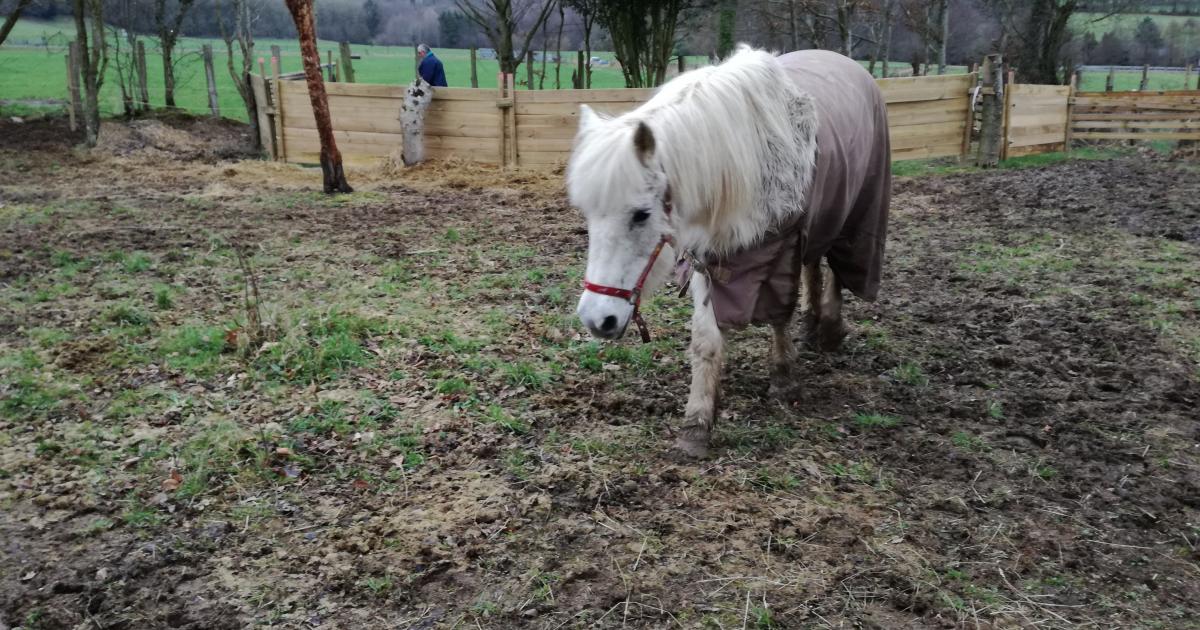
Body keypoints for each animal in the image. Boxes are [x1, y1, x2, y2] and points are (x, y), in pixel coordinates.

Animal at [568, 45, 892, 456]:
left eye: (641, 215)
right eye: (588, 214)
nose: (597, 319)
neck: (749, 157)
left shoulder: (784, 247)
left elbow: (778, 315)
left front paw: (784, 379)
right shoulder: (706, 258)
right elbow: (705, 338)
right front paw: (697, 423)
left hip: (853, 213)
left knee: (836, 267)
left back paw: (831, 329)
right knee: (814, 265)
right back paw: (813, 323)